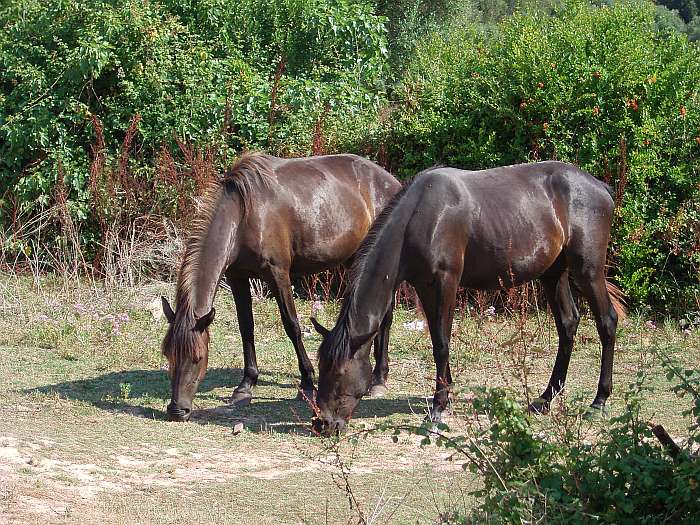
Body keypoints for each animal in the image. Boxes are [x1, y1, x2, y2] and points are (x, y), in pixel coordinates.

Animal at [161, 152, 402, 422]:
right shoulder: (237, 277)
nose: (177, 410)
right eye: (168, 354)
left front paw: (307, 382)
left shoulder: (279, 275)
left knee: (386, 318)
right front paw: (245, 386)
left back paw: (379, 380)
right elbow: (246, 328)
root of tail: (390, 182)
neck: (244, 216)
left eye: (198, 358)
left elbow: (292, 326)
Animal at [310, 161, 626, 435]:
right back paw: (546, 398)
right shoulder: (424, 286)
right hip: (553, 274)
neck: (422, 216)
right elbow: (438, 340)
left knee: (606, 322)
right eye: (320, 367)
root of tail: (599, 187)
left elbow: (441, 344)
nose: (322, 424)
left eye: (339, 373)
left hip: (588, 272)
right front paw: (445, 396)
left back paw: (599, 401)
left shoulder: (445, 283)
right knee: (568, 324)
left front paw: (438, 408)